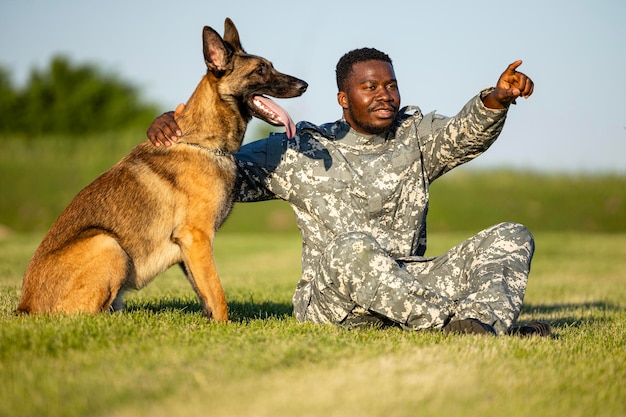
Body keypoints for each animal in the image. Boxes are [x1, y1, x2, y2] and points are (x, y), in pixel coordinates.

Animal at [15, 17, 308, 320]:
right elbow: (218, 295)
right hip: (106, 243)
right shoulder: (198, 238)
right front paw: (226, 327)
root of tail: (24, 306)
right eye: (261, 69)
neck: (202, 143)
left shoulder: (190, 249)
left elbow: (206, 295)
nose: (304, 85)